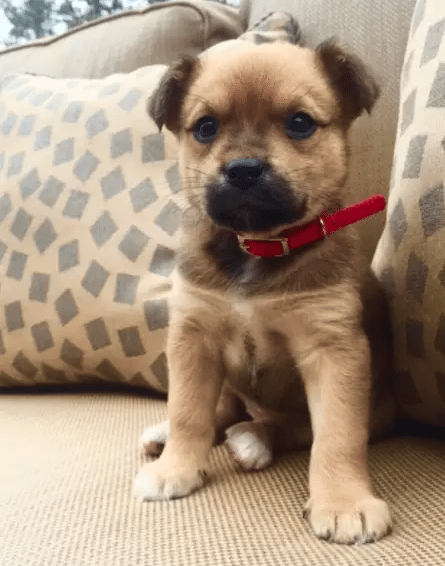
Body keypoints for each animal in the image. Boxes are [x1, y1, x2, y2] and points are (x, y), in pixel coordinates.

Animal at [133, 39, 395, 545]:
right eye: (205, 127)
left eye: (300, 122)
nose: (243, 170)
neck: (257, 246)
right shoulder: (194, 337)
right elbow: (188, 411)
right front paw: (176, 468)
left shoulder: (334, 350)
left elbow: (336, 436)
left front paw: (343, 503)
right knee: (221, 411)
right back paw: (165, 436)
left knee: (287, 428)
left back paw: (251, 439)